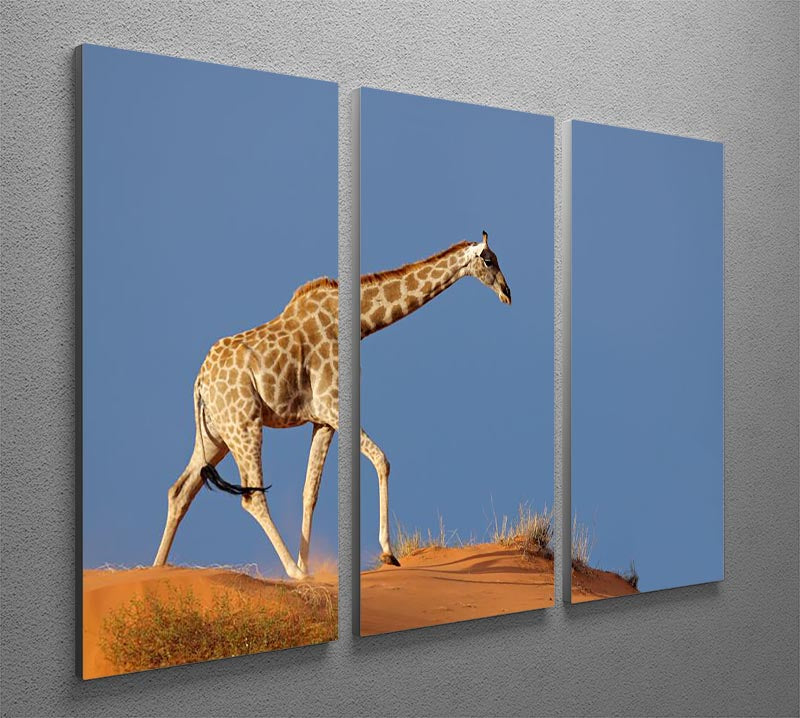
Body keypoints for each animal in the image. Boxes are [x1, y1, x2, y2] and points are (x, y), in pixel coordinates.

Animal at [153, 230, 510, 579]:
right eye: (489, 260)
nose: (507, 292)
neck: (359, 325)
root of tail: (200, 382)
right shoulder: (333, 406)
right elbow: (382, 460)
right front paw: (386, 553)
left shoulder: (322, 420)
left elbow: (309, 492)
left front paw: (309, 562)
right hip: (244, 425)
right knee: (252, 497)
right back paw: (294, 573)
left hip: (216, 434)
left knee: (180, 490)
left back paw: (157, 568)